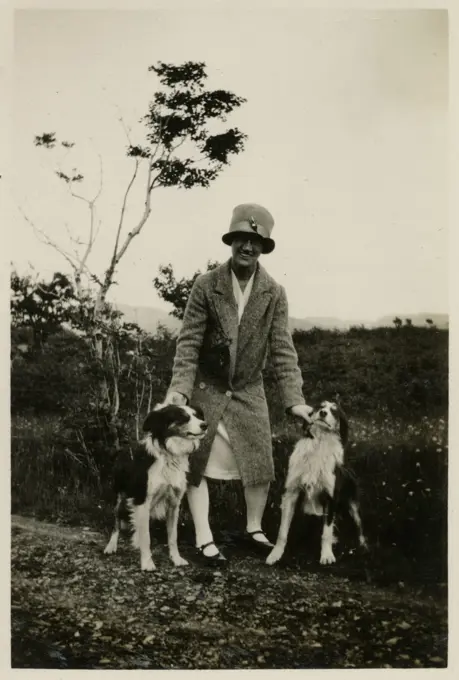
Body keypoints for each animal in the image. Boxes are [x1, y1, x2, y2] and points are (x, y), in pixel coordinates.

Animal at [104, 402, 207, 572]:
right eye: (183, 417)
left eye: (197, 415)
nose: (205, 425)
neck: (169, 455)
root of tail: (122, 450)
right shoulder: (142, 501)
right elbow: (146, 536)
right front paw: (147, 563)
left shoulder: (174, 504)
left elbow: (173, 536)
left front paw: (176, 559)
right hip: (120, 498)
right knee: (116, 523)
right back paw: (111, 546)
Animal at [268, 402, 368, 564]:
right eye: (320, 406)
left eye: (334, 411)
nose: (323, 413)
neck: (319, 443)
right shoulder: (291, 493)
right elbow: (282, 530)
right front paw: (276, 554)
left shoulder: (331, 497)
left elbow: (326, 531)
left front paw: (327, 555)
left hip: (353, 506)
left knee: (359, 528)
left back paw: (362, 548)